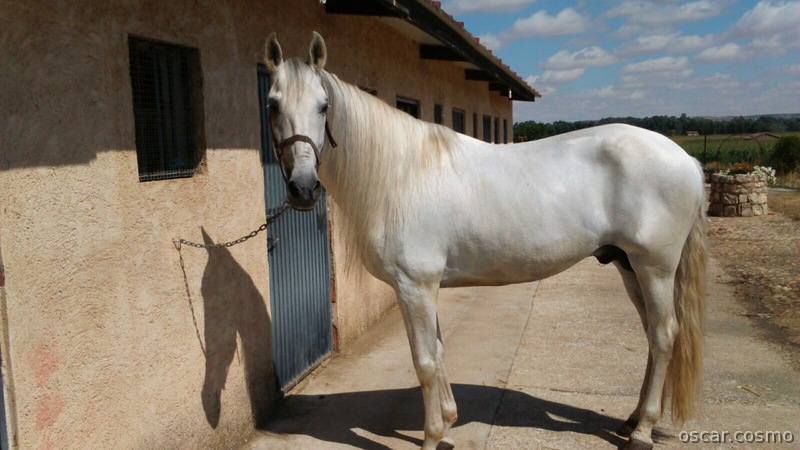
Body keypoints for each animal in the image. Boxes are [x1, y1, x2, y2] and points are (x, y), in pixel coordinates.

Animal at [263, 32, 707, 450]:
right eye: (272, 105)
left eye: (324, 106)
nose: (303, 188)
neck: (401, 174)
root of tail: (685, 158)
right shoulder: (424, 288)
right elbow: (439, 352)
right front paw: (447, 425)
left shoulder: (414, 286)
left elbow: (424, 361)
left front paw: (431, 437)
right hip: (627, 265)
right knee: (650, 333)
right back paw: (631, 421)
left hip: (655, 267)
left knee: (664, 335)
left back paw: (642, 432)